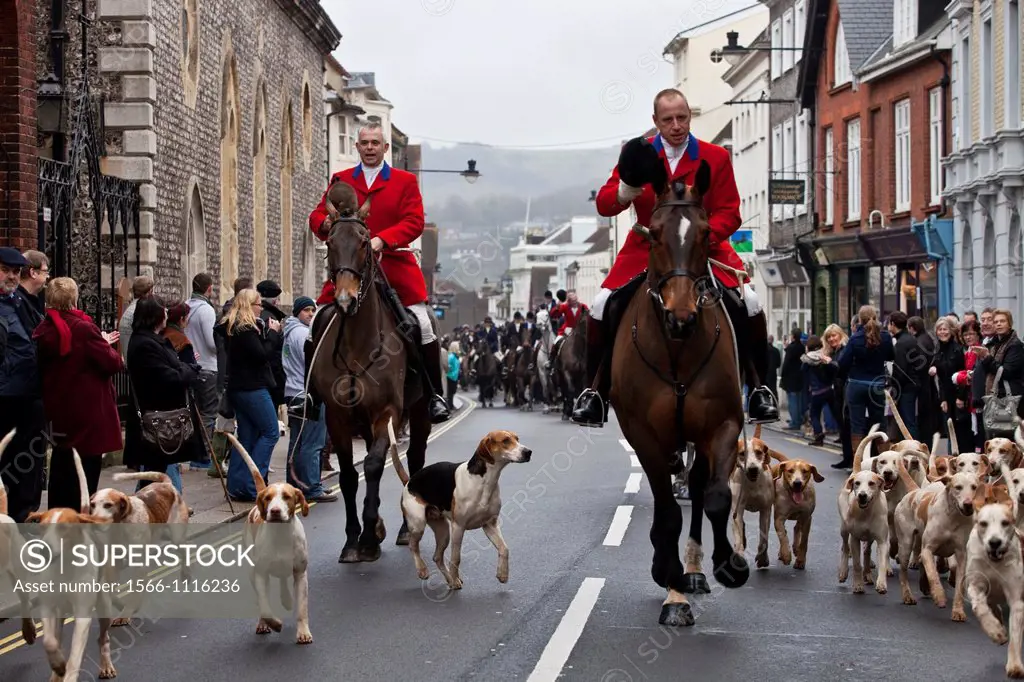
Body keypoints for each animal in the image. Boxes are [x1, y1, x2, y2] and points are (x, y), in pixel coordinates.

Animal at [307, 210, 436, 557]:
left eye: (365, 243)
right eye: (330, 242)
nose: (345, 300)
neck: (357, 342)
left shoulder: (386, 412)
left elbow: (375, 465)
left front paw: (369, 534)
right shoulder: (337, 417)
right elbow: (350, 475)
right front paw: (354, 538)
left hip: (419, 413)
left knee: (415, 460)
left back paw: (405, 530)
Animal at [606, 160, 753, 626]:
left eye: (706, 233)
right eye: (652, 234)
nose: (682, 317)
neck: (676, 349)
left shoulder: (722, 425)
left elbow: (718, 497)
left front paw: (728, 566)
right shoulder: (643, 434)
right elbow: (668, 512)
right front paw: (670, 585)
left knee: (701, 485)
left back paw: (694, 569)